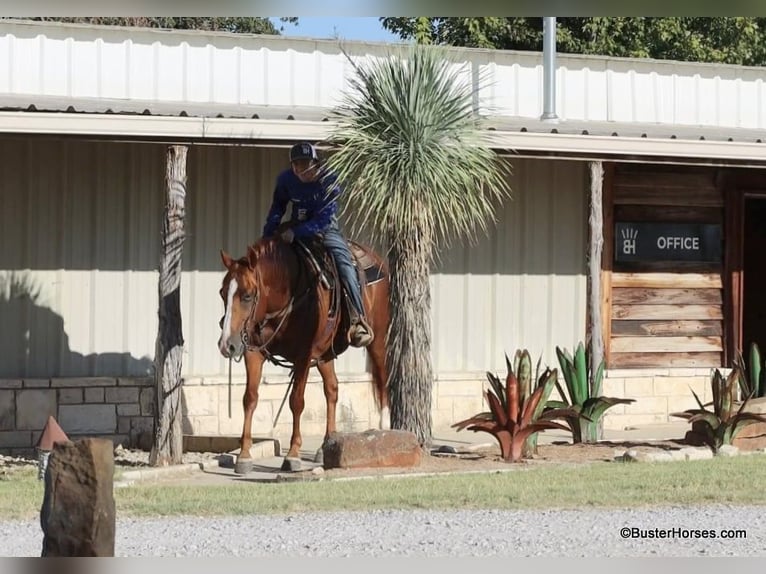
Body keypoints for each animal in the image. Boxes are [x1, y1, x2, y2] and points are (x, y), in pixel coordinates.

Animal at [217, 235, 391, 473]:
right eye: (222, 292)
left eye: (247, 295)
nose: (227, 345)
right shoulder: (253, 352)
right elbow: (250, 398)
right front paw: (244, 455)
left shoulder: (304, 356)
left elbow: (296, 401)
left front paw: (292, 454)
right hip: (326, 354)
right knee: (332, 389)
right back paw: (326, 445)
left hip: (378, 340)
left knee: (381, 380)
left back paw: (385, 428)